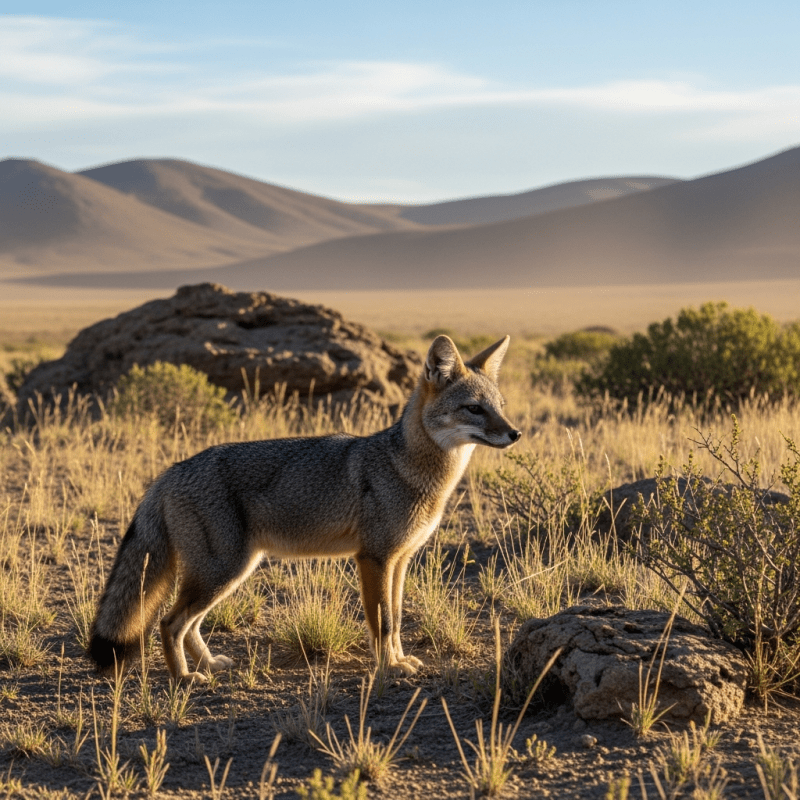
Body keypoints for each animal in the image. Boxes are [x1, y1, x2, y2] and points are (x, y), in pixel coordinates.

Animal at [88, 334, 521, 682]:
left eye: (500, 405)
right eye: (474, 408)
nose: (515, 433)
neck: (407, 466)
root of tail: (170, 471)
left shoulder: (399, 560)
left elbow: (396, 619)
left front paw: (399, 661)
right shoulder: (374, 558)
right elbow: (382, 622)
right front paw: (388, 667)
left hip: (232, 571)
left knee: (188, 625)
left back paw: (208, 664)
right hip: (221, 571)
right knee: (169, 622)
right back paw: (184, 678)